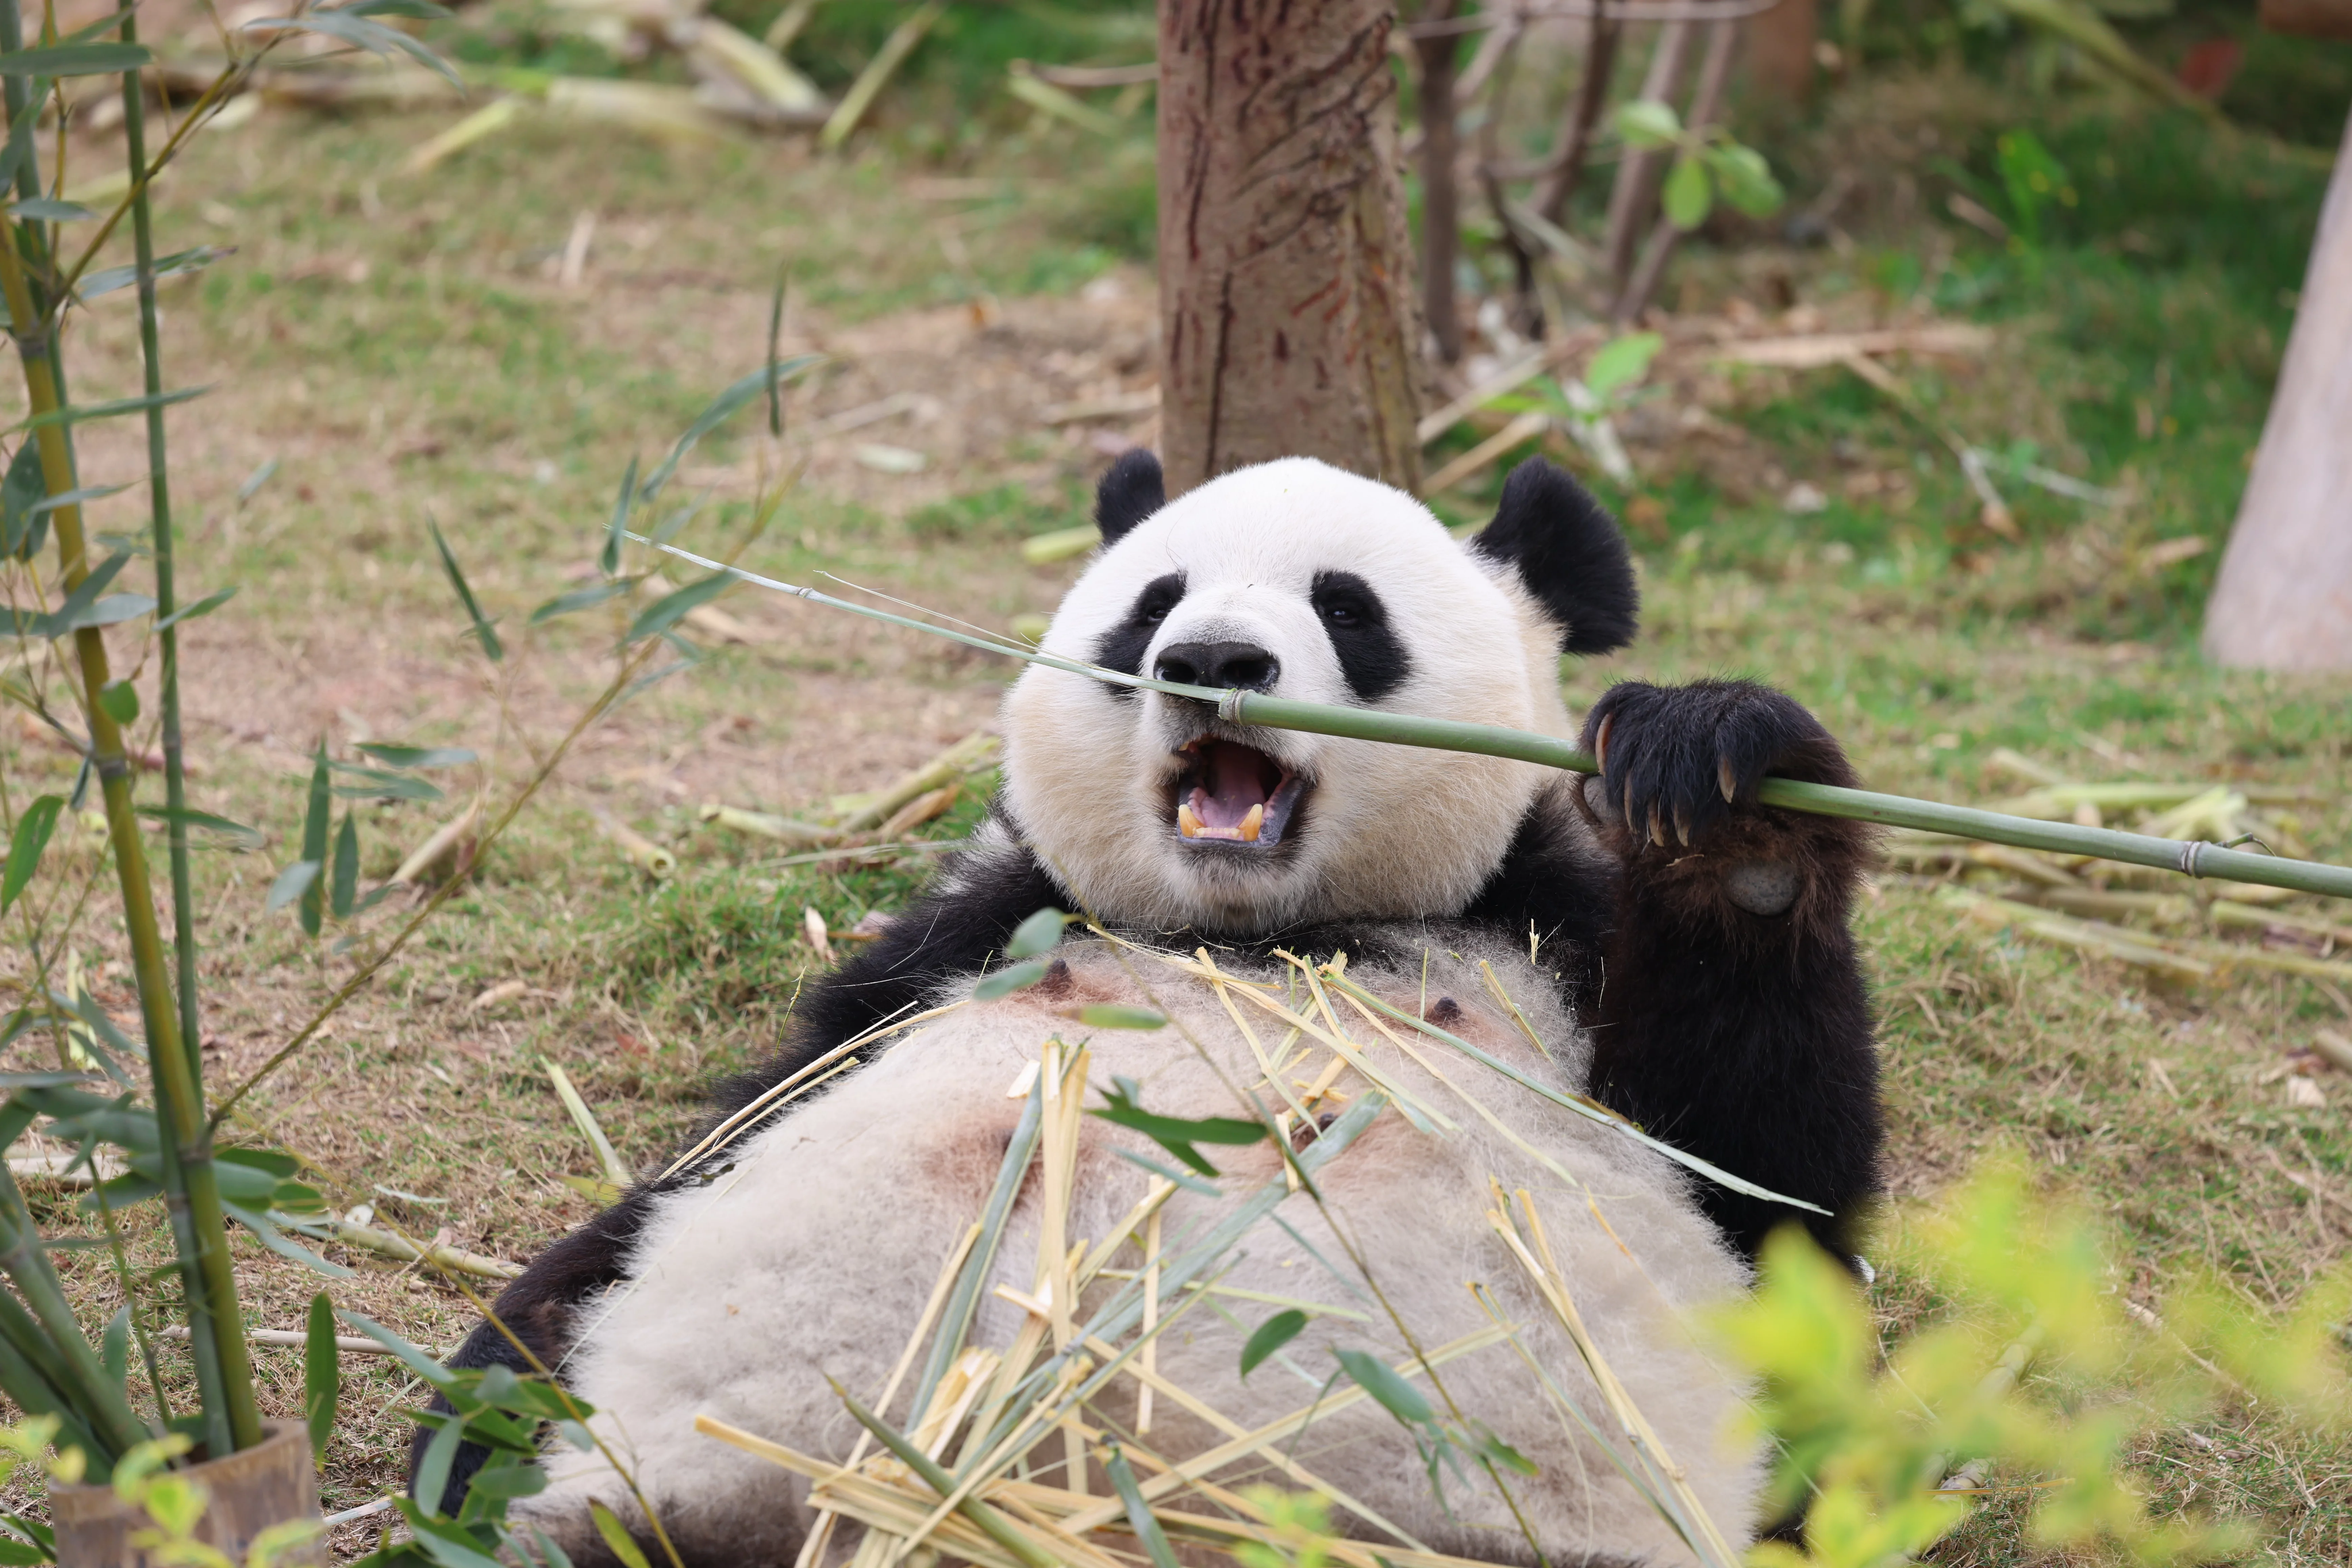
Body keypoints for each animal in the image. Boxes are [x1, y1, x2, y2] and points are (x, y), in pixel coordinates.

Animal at [419, 453, 1880, 1568]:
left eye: (1348, 609)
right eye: (1149, 605)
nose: (1212, 657)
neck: (1253, 933)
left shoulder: (1554, 936)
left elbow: (1765, 1189)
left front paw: (1731, 810)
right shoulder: (970, 939)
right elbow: (700, 1156)